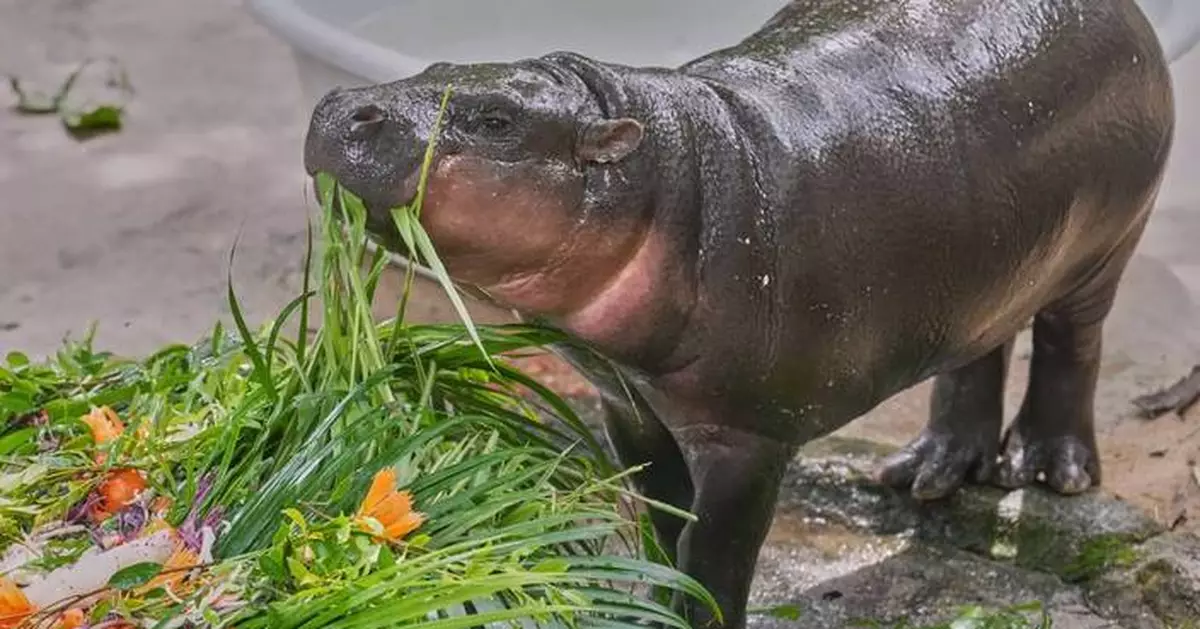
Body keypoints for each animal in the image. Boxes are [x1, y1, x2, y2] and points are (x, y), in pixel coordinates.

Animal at [303, 0, 1175, 626]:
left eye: (495, 120)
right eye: (436, 65)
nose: (342, 105)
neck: (665, 174)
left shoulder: (746, 436)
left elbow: (713, 546)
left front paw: (697, 612)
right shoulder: (626, 402)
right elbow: (659, 516)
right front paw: (650, 602)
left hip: (1106, 245)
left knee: (1070, 342)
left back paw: (1049, 469)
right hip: (988, 268)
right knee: (979, 350)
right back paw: (926, 474)